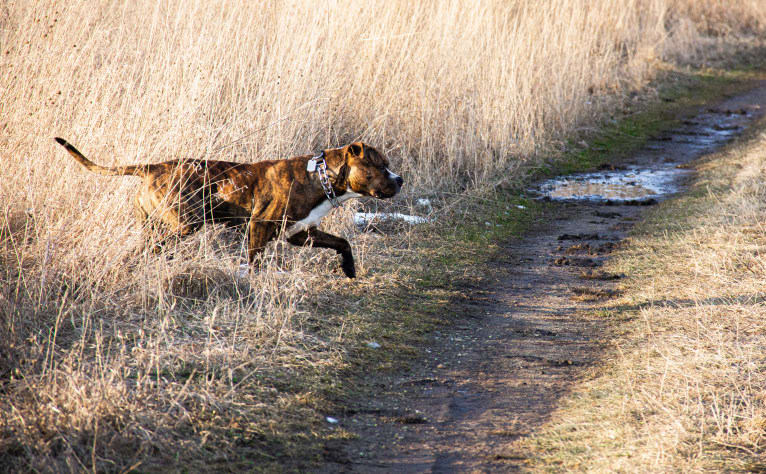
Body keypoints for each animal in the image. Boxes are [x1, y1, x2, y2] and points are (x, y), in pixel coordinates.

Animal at [54, 137, 404, 278]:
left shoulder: (301, 233)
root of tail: (153, 167)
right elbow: (254, 260)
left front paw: (349, 268)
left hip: (158, 224)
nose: (400, 179)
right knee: (153, 247)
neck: (321, 176)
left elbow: (342, 242)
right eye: (380, 166)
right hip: (184, 224)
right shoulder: (260, 226)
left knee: (144, 248)